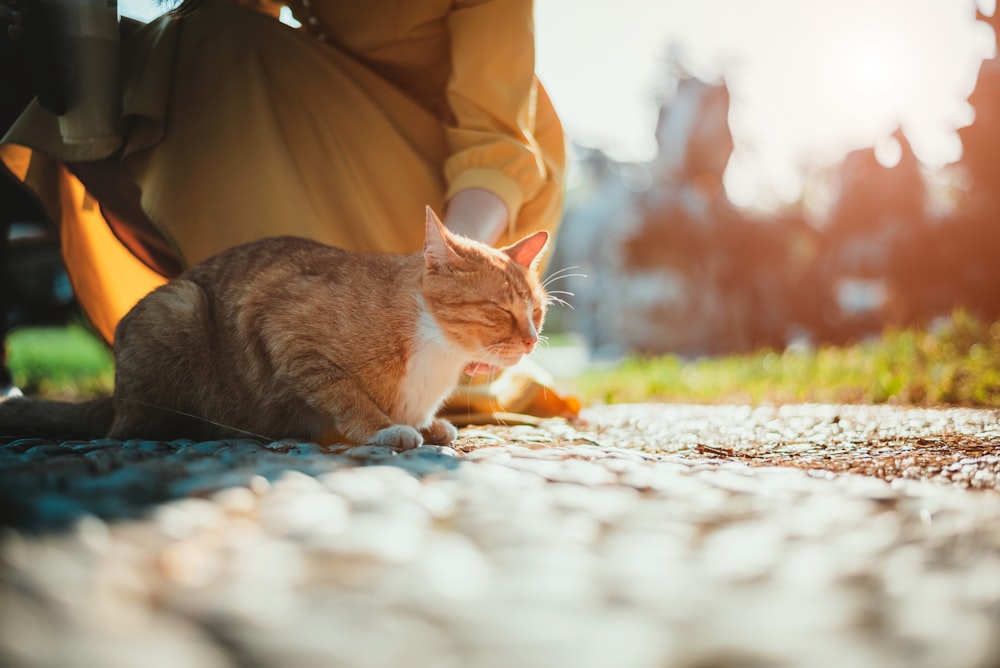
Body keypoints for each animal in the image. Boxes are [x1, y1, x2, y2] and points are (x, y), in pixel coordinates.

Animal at [0, 209, 548, 448]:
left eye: (537, 312)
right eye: (502, 311)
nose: (531, 340)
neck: (438, 353)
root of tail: (112, 398)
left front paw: (425, 423)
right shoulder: (286, 333)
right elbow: (346, 395)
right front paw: (384, 428)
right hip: (178, 306)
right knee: (131, 428)